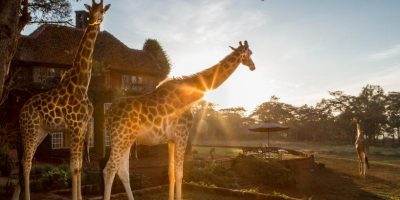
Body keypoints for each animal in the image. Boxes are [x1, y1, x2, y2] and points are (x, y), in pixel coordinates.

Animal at [14, 0, 110, 199]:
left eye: (102, 12)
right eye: (90, 12)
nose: (94, 21)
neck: (82, 84)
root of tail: (21, 111)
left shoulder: (82, 127)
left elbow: (80, 167)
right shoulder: (74, 126)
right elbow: (74, 168)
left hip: (40, 132)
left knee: (23, 161)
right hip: (30, 130)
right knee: (26, 163)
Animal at [101, 41, 255, 200]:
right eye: (250, 53)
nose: (253, 66)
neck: (189, 95)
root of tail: (108, 115)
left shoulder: (171, 140)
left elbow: (171, 173)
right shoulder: (182, 135)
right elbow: (180, 174)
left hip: (127, 140)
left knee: (123, 171)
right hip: (120, 137)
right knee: (109, 169)